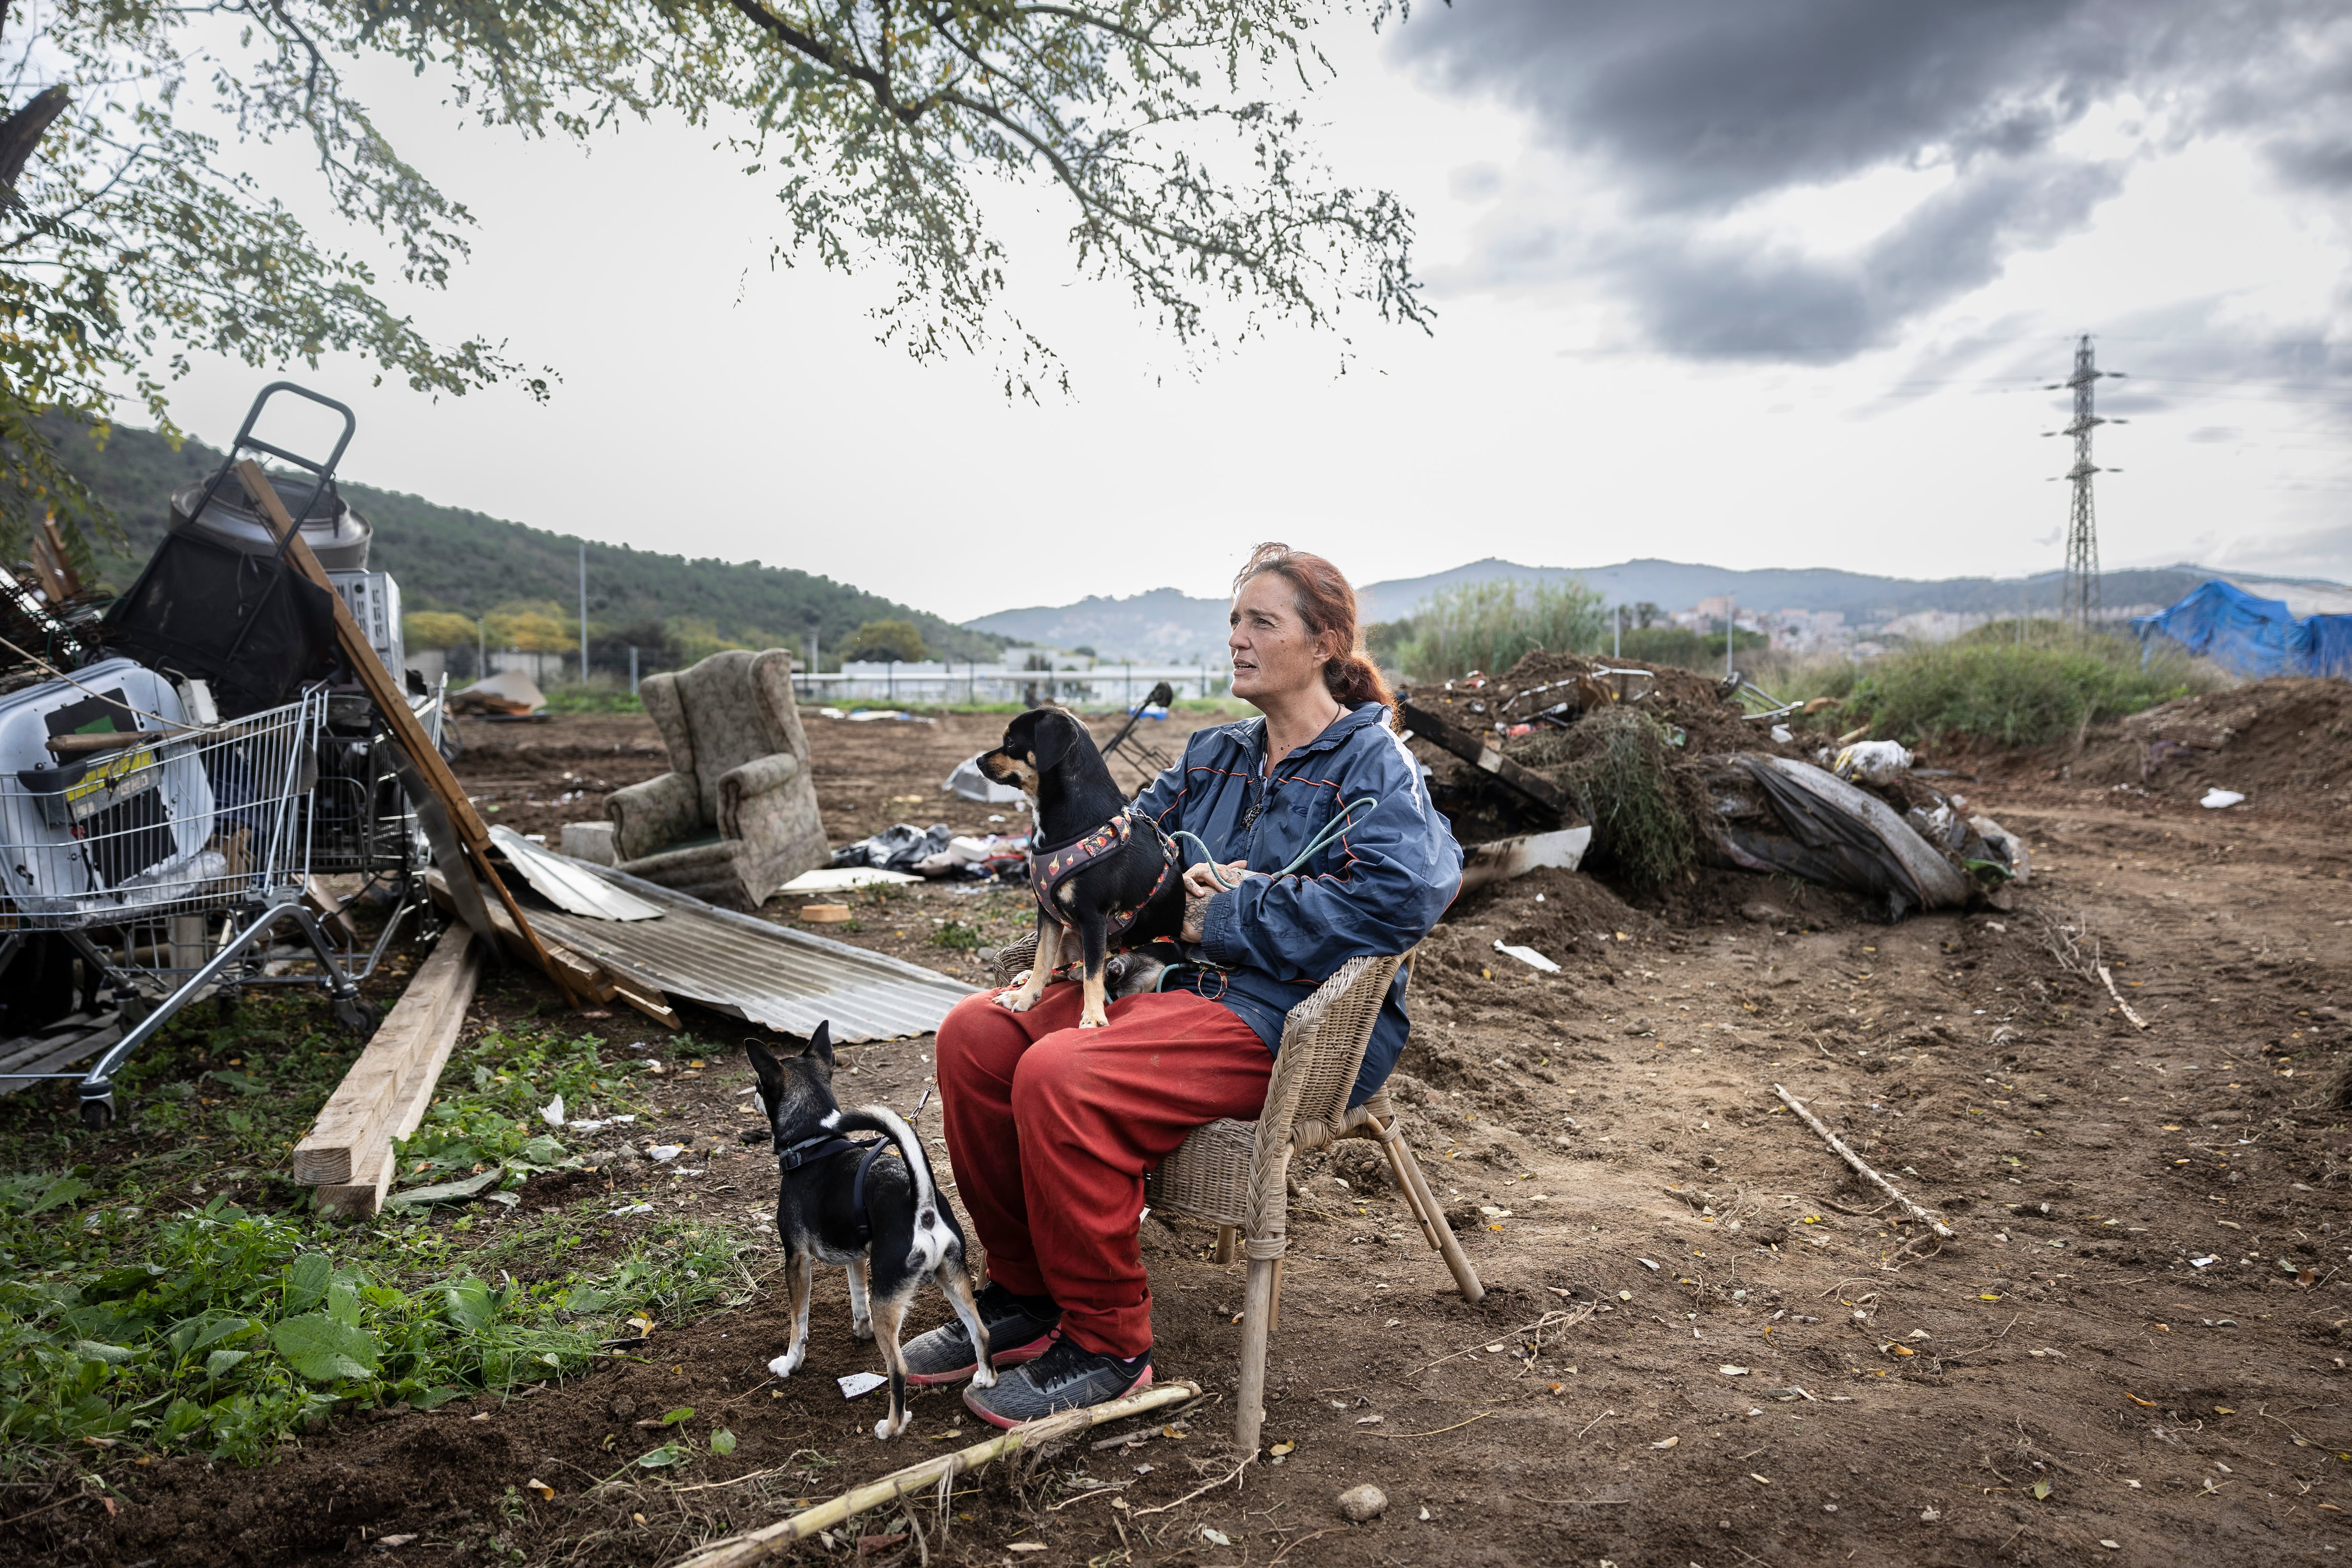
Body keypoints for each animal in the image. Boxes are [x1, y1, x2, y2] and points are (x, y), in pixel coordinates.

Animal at [739, 1025, 988, 1439]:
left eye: (760, 1083)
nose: (752, 1093)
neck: (814, 1143)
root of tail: (922, 1204)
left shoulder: (796, 1259)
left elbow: (798, 1323)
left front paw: (790, 1363)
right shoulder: (855, 1256)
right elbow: (858, 1297)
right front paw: (860, 1330)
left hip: (891, 1293)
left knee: (898, 1368)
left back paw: (893, 1426)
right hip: (952, 1278)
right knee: (980, 1332)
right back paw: (986, 1379)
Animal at [974, 710, 1185, 1029]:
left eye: (1011, 742)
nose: (978, 760)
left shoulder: (1093, 918)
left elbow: (1092, 977)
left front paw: (1094, 1018)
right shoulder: (1048, 913)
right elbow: (1042, 960)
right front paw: (1026, 997)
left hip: (1145, 963)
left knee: (1095, 971)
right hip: (1067, 934)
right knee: (1064, 969)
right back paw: (1030, 980)